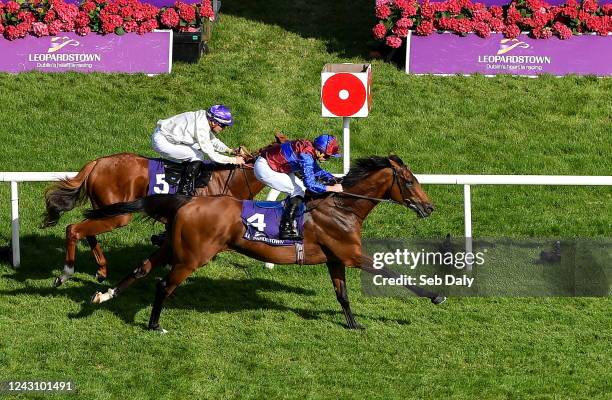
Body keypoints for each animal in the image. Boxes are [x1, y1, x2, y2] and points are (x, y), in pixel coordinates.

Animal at [40, 151, 266, 288]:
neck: (225, 180)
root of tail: (98, 162)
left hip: (104, 210)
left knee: (86, 231)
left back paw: (102, 270)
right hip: (118, 215)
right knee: (74, 229)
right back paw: (66, 273)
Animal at [83, 156, 442, 332]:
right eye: (409, 181)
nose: (428, 207)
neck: (343, 207)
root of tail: (187, 200)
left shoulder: (336, 258)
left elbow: (342, 295)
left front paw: (353, 324)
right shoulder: (351, 254)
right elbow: (392, 273)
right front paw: (436, 295)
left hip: (172, 246)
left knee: (142, 269)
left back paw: (104, 295)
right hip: (192, 257)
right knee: (163, 285)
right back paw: (154, 324)